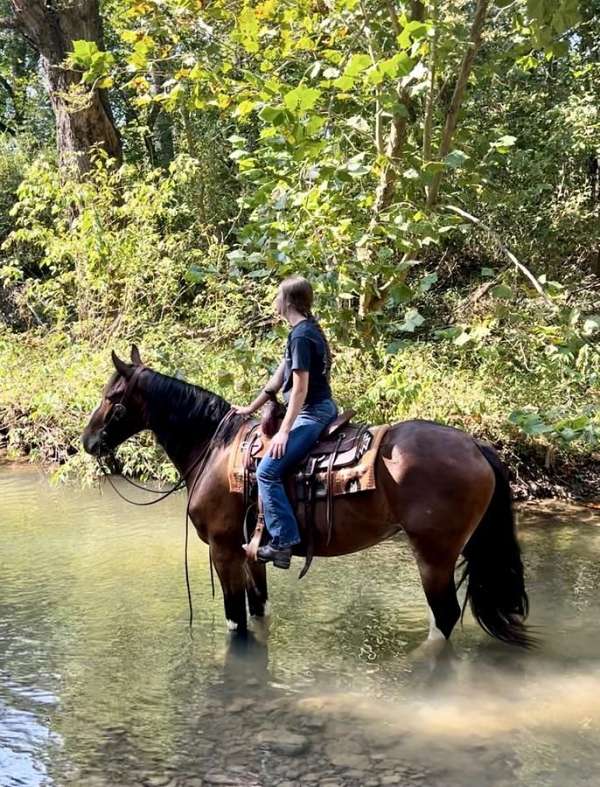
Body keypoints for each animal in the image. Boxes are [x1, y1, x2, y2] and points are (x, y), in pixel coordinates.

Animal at [81, 344, 528, 648]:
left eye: (111, 398)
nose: (87, 441)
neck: (214, 447)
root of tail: (475, 445)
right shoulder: (249, 551)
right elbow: (258, 610)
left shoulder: (224, 550)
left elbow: (235, 621)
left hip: (434, 555)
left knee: (444, 617)